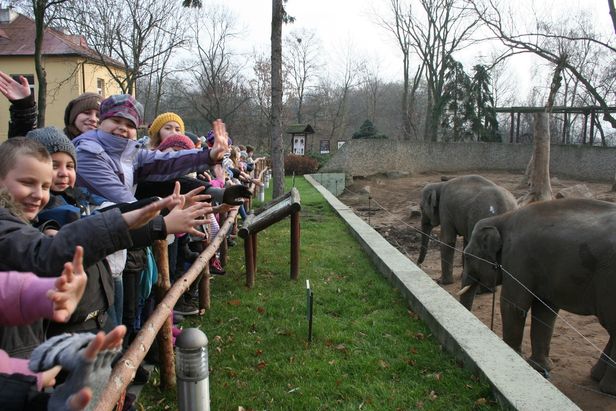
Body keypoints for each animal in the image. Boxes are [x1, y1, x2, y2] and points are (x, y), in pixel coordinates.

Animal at [460, 199, 616, 396]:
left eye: (467, 257)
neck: (501, 219)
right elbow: (545, 311)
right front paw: (539, 368)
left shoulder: (517, 257)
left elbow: (513, 305)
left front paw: (516, 357)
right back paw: (597, 378)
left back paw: (607, 389)